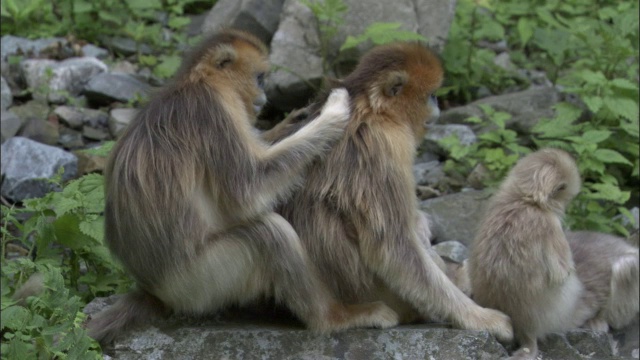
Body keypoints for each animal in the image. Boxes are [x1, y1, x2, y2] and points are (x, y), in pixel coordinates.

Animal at [85, 29, 400, 344]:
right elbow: (247, 191)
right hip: (200, 281)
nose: (264, 97)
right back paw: (335, 318)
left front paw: (294, 119)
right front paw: (334, 114)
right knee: (269, 234)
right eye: (259, 78)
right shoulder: (213, 111)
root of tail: (154, 292)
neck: (200, 81)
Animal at [260, 41, 510, 340]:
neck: (369, 105)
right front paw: (479, 318)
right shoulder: (386, 142)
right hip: (382, 293)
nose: (437, 105)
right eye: (432, 95)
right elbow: (393, 248)